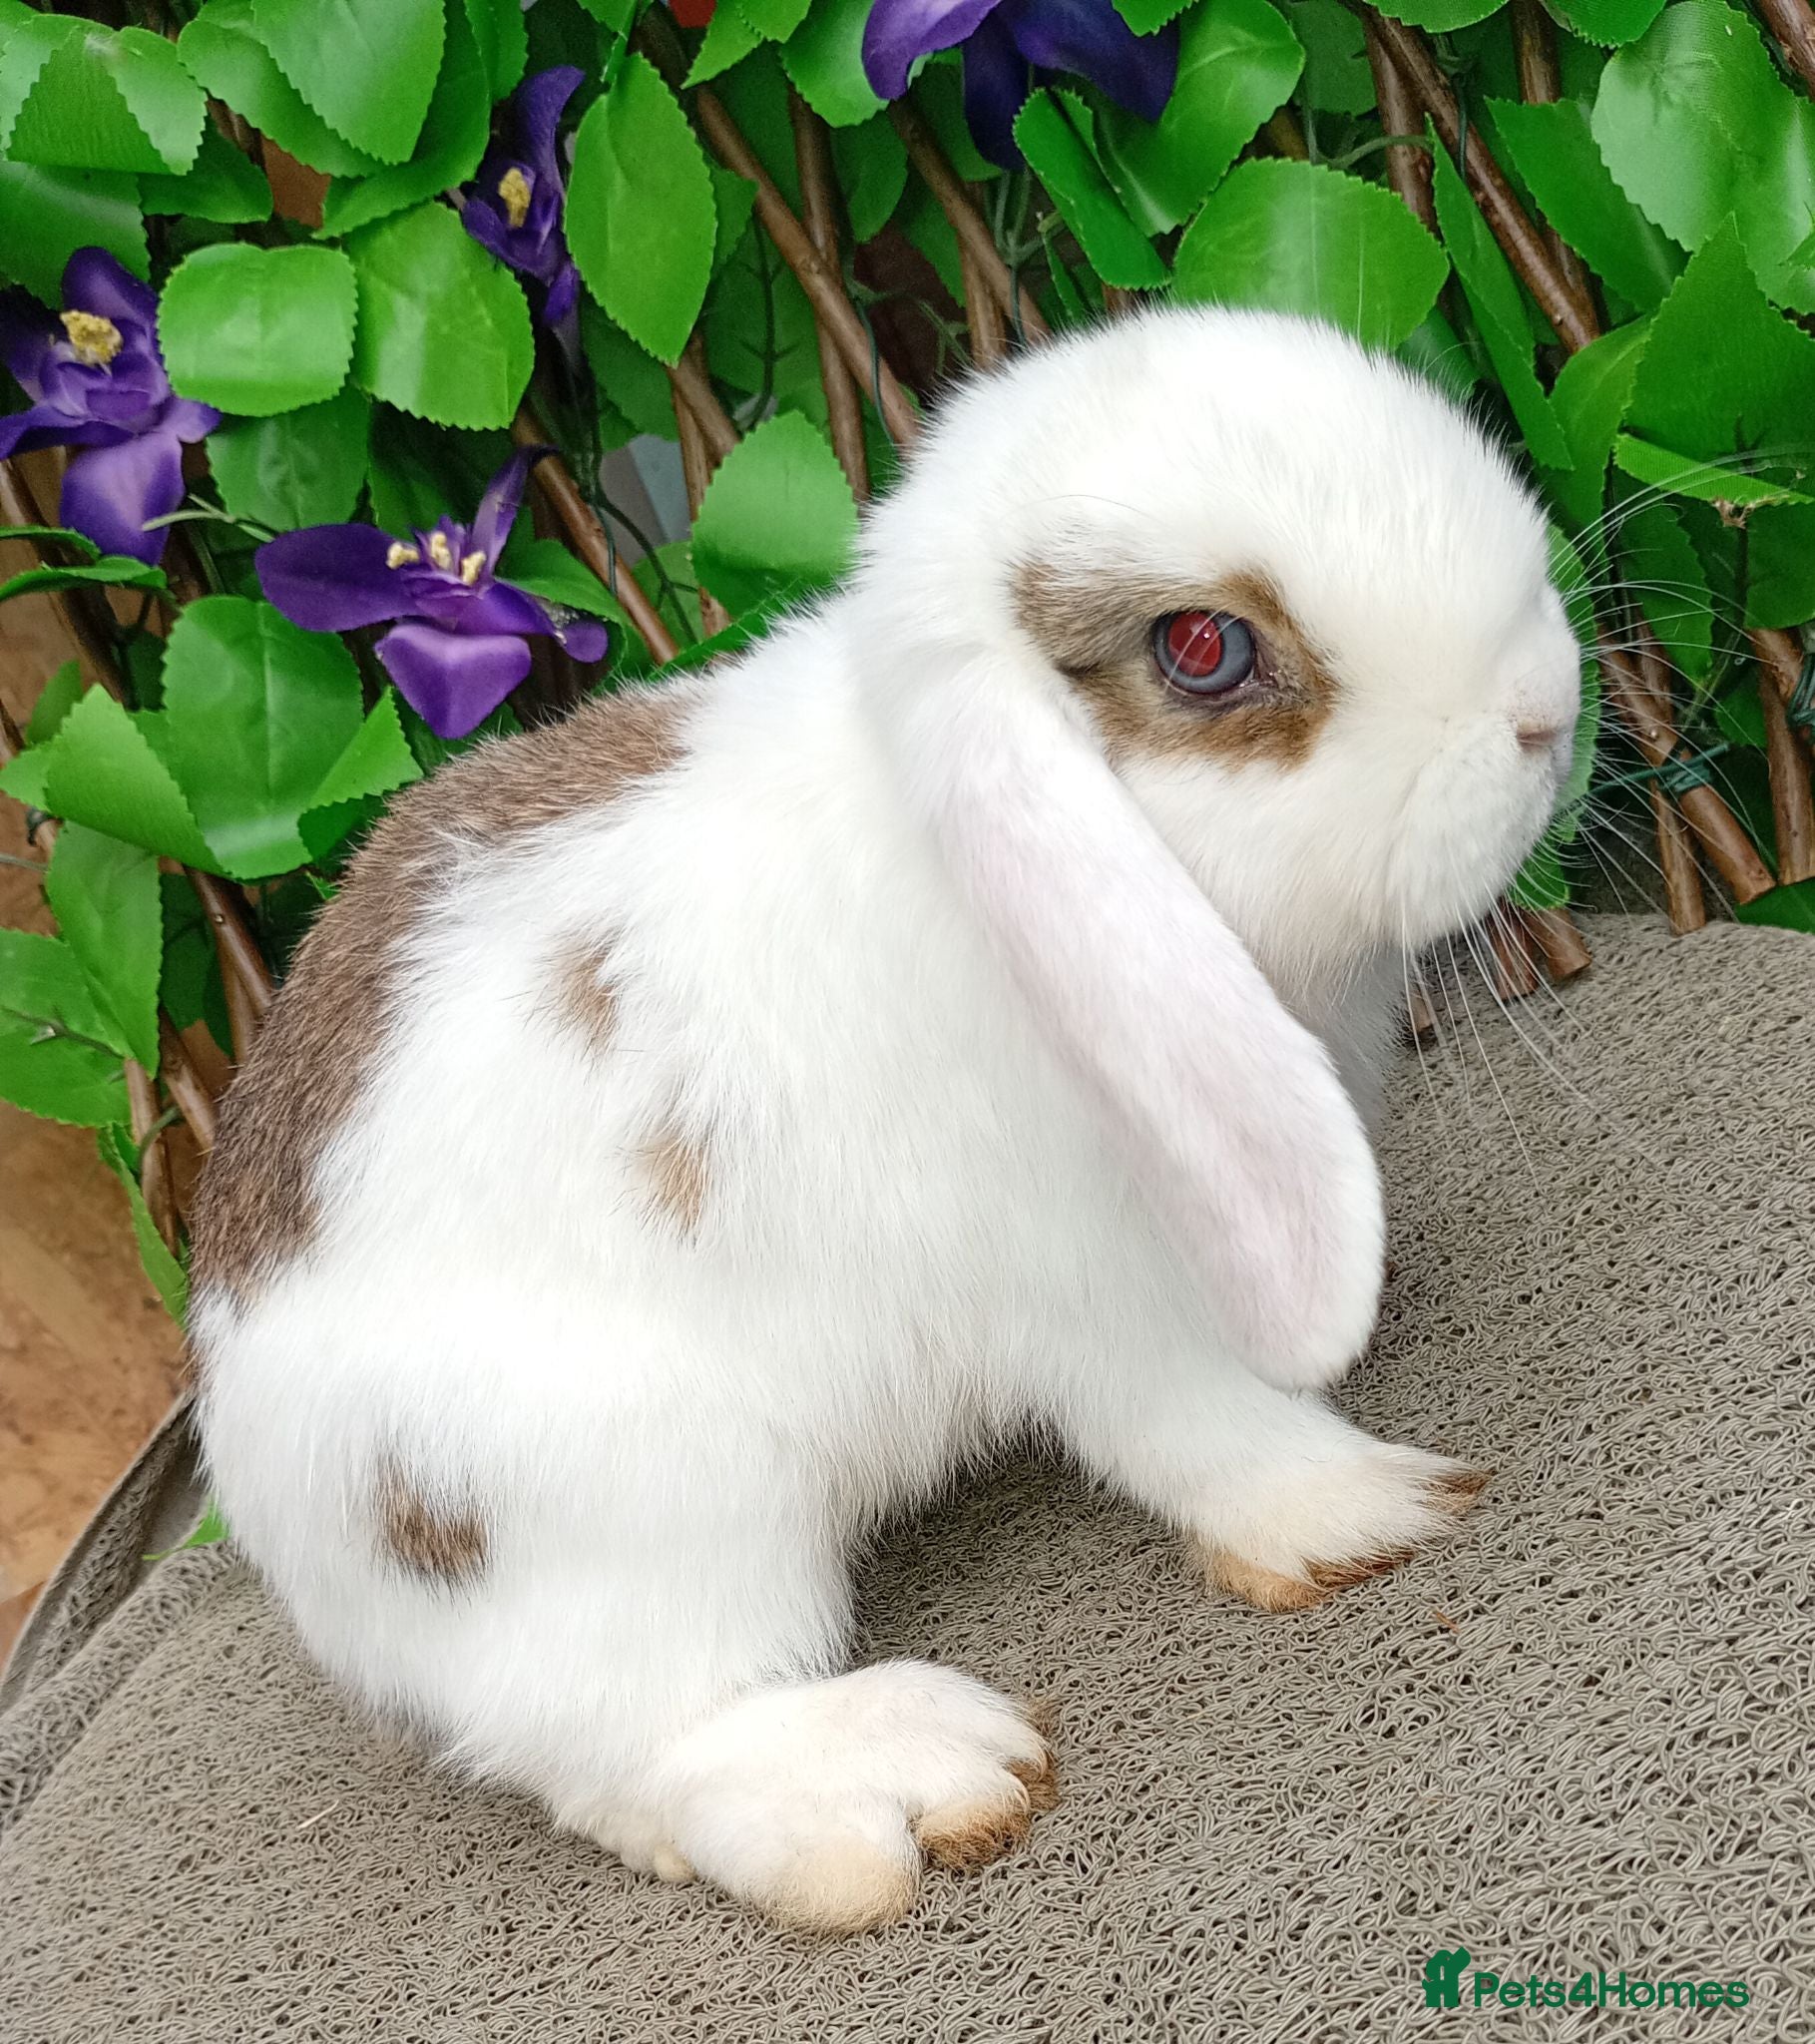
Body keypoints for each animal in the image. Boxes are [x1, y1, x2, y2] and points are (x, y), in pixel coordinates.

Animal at [192, 305, 1582, 1933]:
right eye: (1203, 650)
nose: (1545, 708)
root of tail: (275, 1514)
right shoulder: (1097, 1288)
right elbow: (1192, 1424)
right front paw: (1366, 1506)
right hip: (652, 1506)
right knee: (647, 1749)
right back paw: (915, 1780)